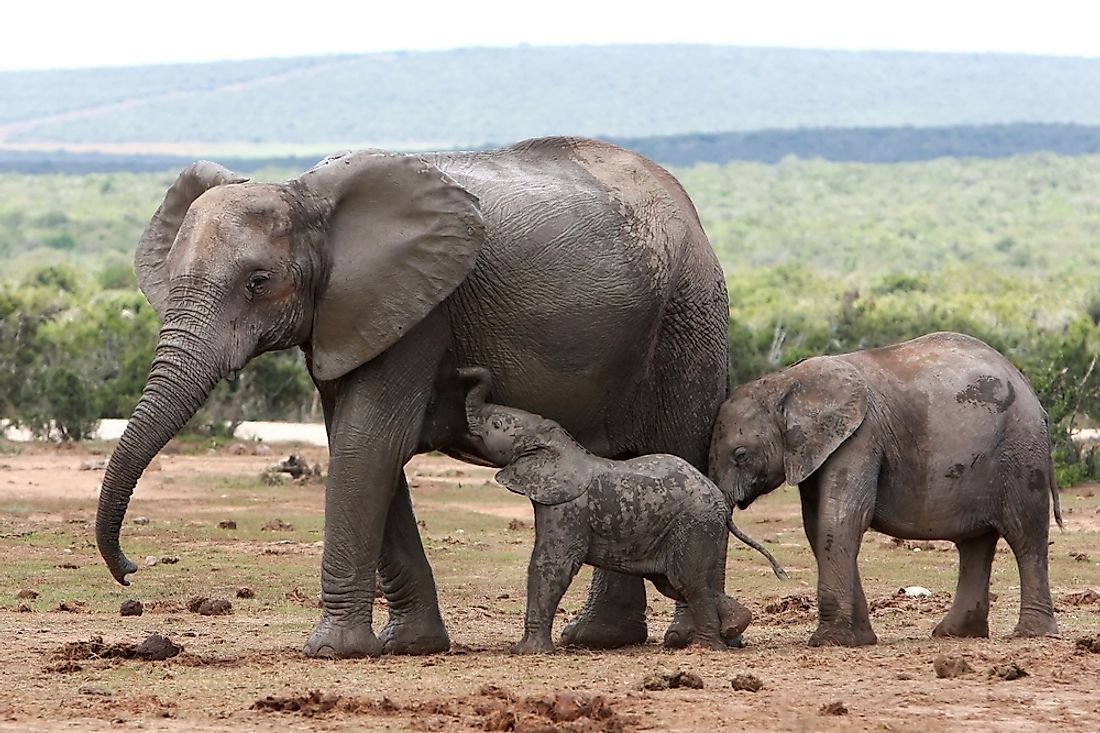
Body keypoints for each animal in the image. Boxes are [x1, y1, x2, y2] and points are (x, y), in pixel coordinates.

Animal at [94, 135, 730, 655]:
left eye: (258, 282)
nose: (130, 570)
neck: (308, 198)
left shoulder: (420, 311)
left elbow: (367, 445)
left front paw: (331, 652)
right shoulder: (352, 315)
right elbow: (361, 449)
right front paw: (409, 646)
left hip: (688, 317)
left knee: (673, 447)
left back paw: (686, 638)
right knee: (622, 463)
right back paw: (600, 639)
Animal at [459, 365, 787, 651]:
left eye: (497, 425)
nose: (464, 371)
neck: (558, 444)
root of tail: (719, 498)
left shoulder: (567, 506)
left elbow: (552, 563)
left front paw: (527, 652)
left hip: (694, 523)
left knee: (689, 582)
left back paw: (706, 648)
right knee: (674, 582)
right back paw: (736, 624)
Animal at [708, 330, 1060, 647]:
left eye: (740, 455)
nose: (733, 630)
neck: (783, 383)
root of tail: (1032, 395)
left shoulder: (861, 436)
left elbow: (844, 519)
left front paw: (828, 641)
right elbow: (818, 526)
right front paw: (859, 640)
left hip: (1021, 451)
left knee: (1025, 534)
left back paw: (1031, 634)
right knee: (975, 544)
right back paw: (955, 634)